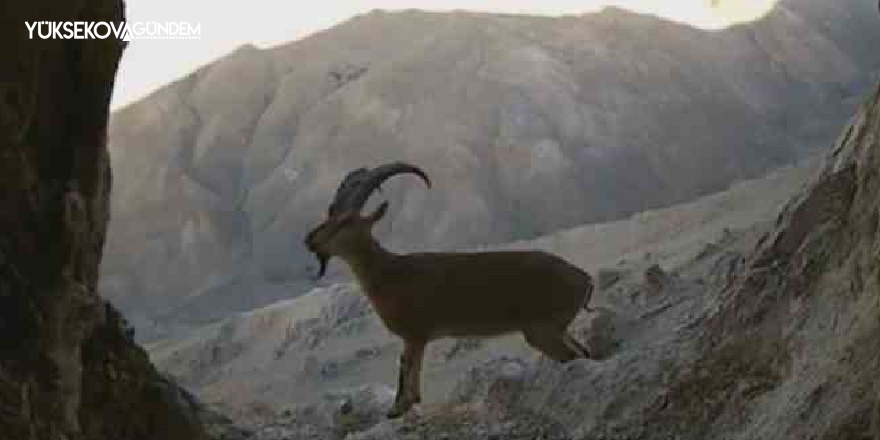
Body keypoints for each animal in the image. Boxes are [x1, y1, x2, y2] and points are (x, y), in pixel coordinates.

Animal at [304, 162, 600, 420]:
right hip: (556, 329)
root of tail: (585, 279)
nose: (310, 240)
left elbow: (407, 373)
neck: (389, 272)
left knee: (574, 357)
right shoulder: (416, 339)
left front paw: (397, 410)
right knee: (584, 353)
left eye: (346, 222)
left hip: (542, 330)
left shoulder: (415, 334)